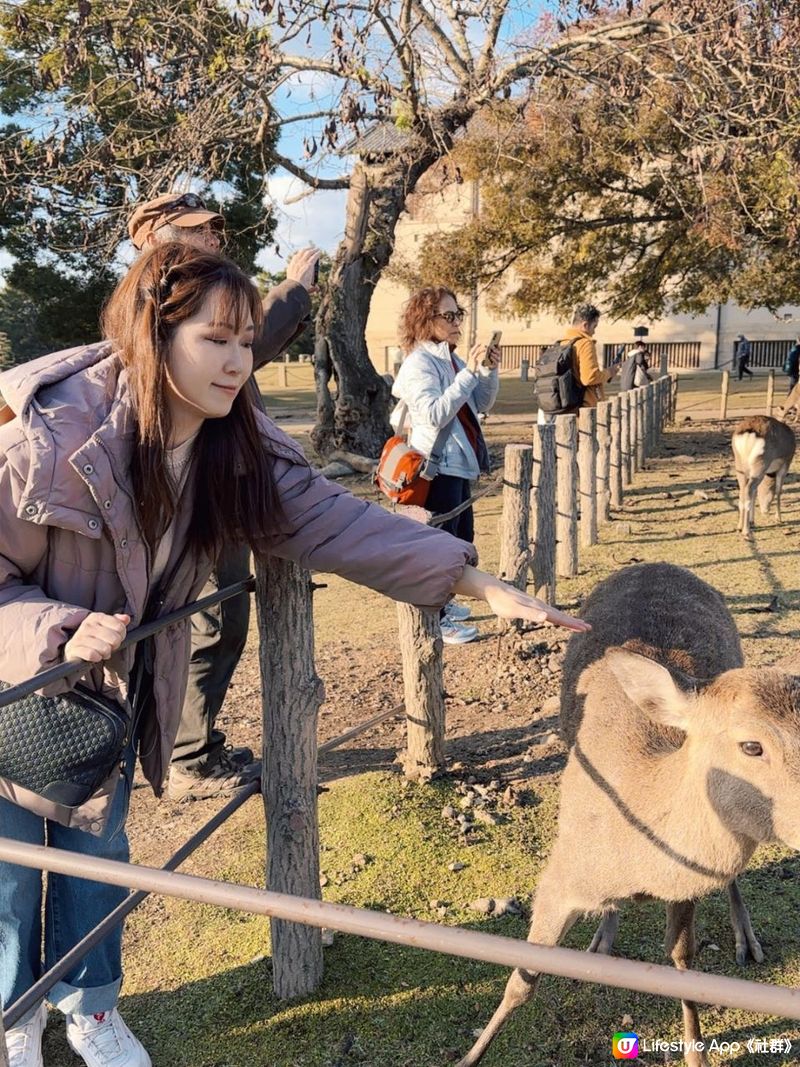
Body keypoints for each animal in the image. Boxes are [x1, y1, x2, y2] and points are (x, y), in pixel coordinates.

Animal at [456, 563, 800, 1062]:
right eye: (752, 745)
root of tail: (656, 564)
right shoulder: (559, 873)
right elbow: (523, 978)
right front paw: (469, 1054)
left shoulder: (685, 886)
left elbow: (682, 959)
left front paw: (696, 1054)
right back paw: (604, 934)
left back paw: (746, 939)